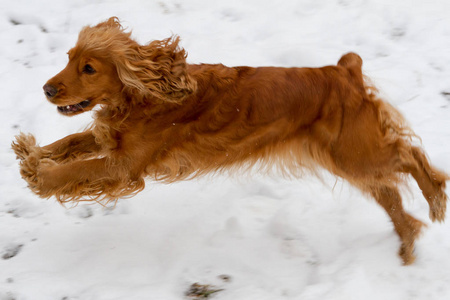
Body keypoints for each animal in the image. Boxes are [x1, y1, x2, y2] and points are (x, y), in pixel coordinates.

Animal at [10, 17, 446, 264]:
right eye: (68, 57)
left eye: (89, 68)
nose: (48, 89)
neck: (143, 94)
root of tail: (344, 71)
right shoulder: (111, 142)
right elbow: (71, 142)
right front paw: (30, 153)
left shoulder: (124, 166)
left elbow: (75, 171)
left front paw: (39, 175)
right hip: (348, 159)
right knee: (390, 193)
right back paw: (407, 244)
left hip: (356, 152)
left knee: (410, 155)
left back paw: (436, 199)